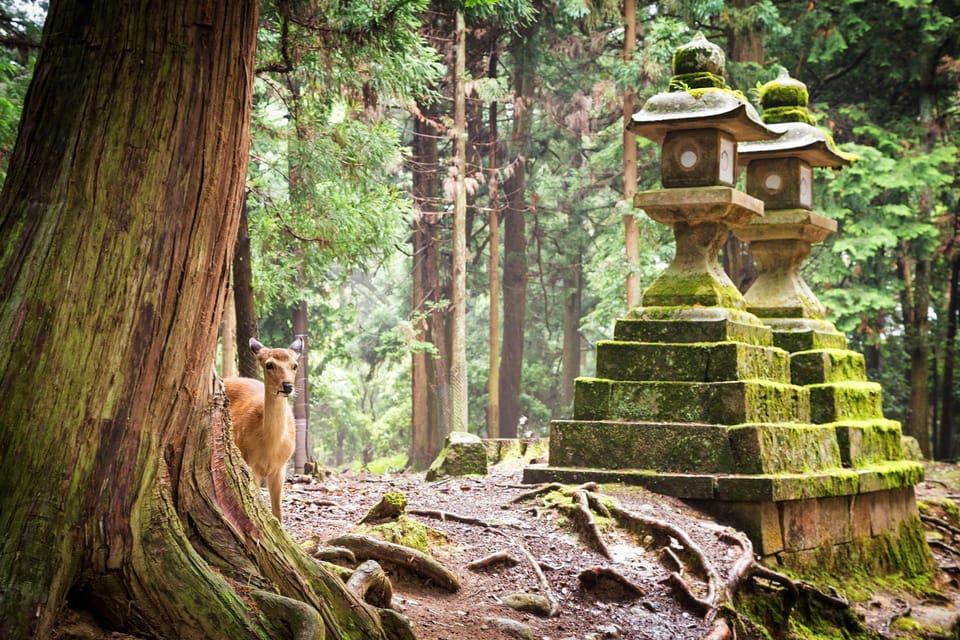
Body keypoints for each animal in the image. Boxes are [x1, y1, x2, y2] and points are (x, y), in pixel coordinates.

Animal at [224, 338, 302, 524]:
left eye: (295, 365)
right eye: (269, 364)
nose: (287, 386)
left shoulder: (280, 468)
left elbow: (278, 511)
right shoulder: (251, 465)